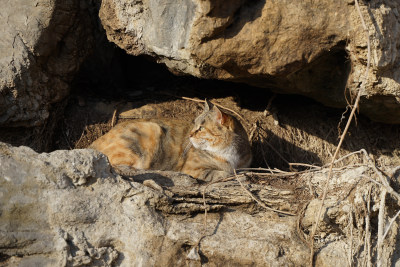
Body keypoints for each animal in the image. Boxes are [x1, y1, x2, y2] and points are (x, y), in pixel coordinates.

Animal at [92, 101, 252, 182]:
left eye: (201, 128)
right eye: (194, 124)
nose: (190, 135)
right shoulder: (193, 169)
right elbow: (222, 173)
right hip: (150, 130)